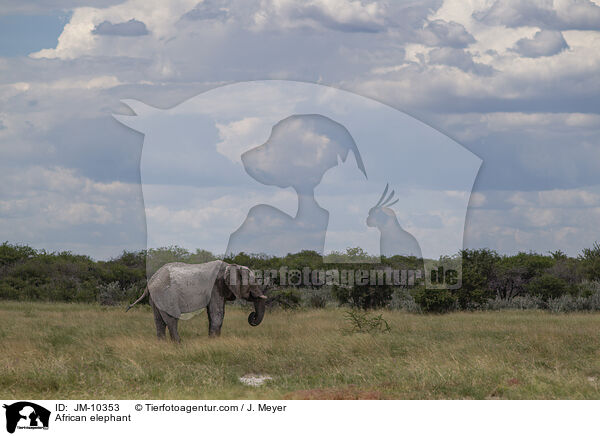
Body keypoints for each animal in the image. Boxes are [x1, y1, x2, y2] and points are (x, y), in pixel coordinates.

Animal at [125, 258, 266, 340]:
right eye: (252, 283)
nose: (252, 316)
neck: (232, 266)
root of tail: (150, 281)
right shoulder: (216, 287)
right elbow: (217, 313)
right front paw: (214, 341)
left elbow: (212, 313)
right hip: (165, 295)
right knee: (172, 319)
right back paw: (179, 344)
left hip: (156, 297)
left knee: (159, 320)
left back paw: (162, 344)